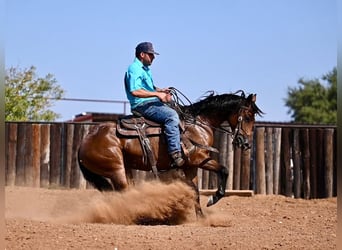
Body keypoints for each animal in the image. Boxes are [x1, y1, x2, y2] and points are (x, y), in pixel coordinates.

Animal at [78, 89, 264, 217]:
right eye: (248, 117)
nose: (246, 143)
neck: (198, 124)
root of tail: (84, 142)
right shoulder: (199, 159)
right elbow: (224, 170)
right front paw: (213, 199)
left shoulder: (191, 167)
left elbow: (195, 191)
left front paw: (202, 218)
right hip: (117, 170)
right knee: (123, 192)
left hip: (125, 169)